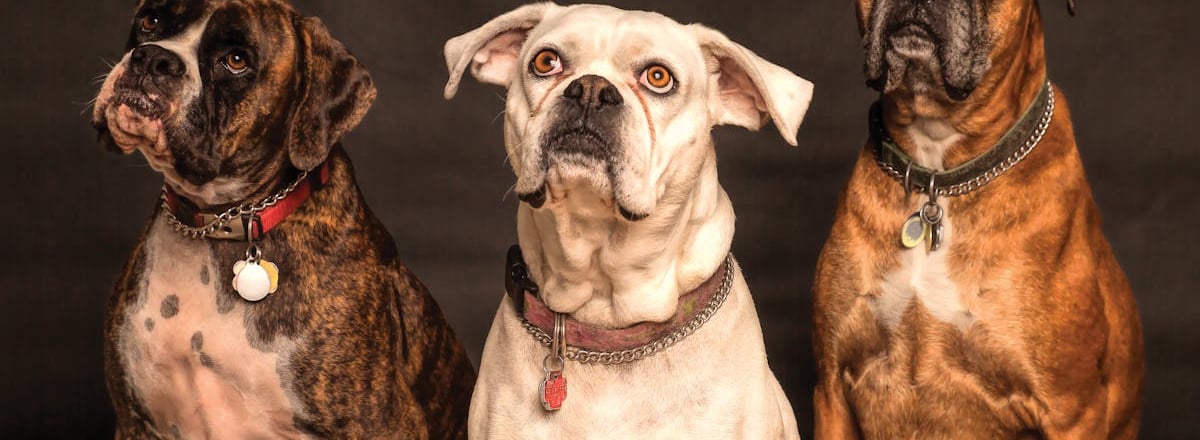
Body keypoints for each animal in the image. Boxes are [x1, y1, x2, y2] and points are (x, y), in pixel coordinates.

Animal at [91, 0, 472, 438]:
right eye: (150, 22)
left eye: (236, 60)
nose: (153, 58)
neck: (216, 223)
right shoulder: (134, 421)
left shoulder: (385, 424)